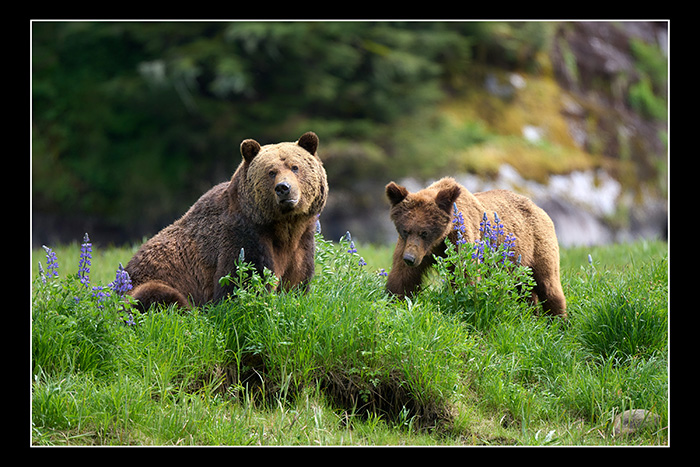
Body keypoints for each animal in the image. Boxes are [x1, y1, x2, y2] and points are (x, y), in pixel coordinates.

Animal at [125, 131, 328, 311]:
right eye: (271, 172)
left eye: (295, 167)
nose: (283, 188)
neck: (282, 226)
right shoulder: (244, 235)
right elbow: (241, 281)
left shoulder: (301, 242)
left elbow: (296, 281)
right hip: (149, 282)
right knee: (157, 296)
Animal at [384, 177, 567, 318]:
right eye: (405, 230)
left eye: (425, 232)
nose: (410, 258)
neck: (439, 242)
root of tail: (538, 207)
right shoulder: (413, 249)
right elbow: (402, 277)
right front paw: (395, 301)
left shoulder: (460, 241)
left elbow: (466, 276)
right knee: (524, 290)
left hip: (538, 245)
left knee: (548, 284)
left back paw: (558, 321)